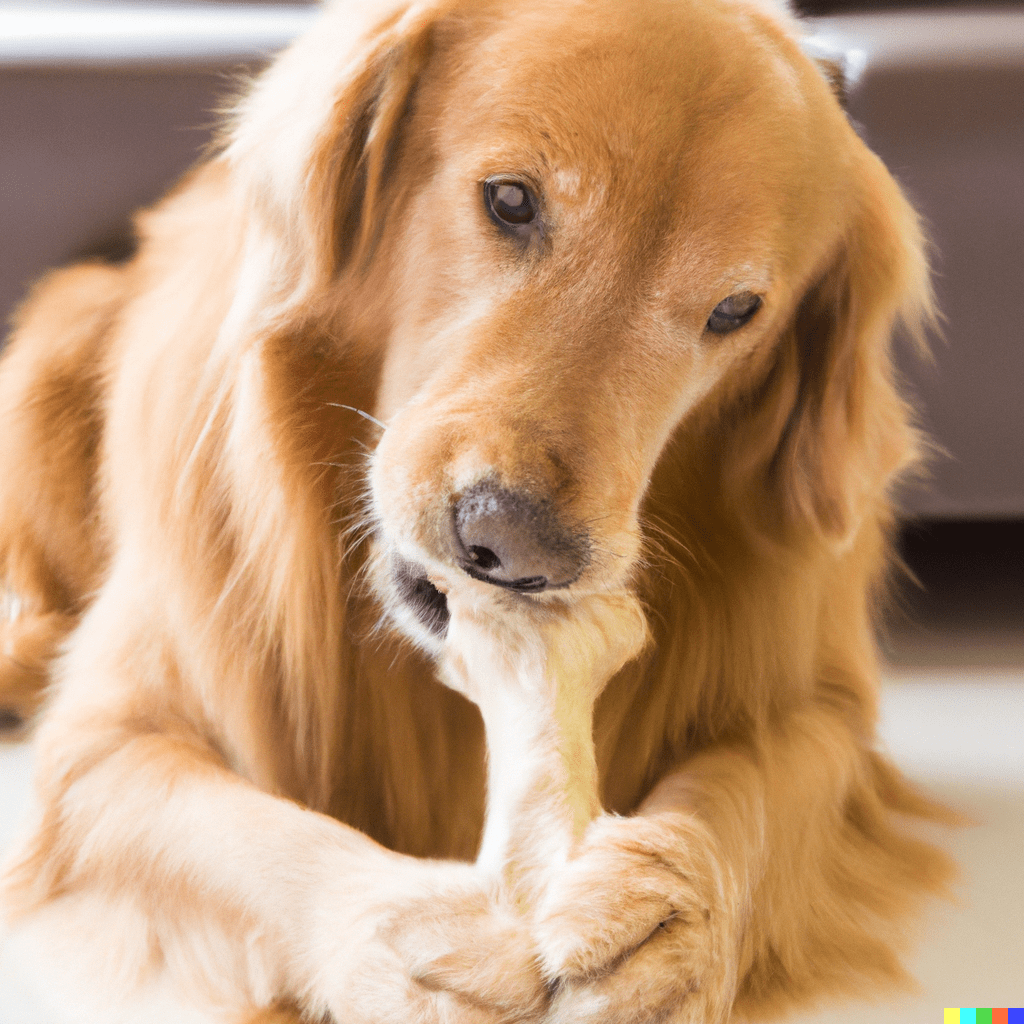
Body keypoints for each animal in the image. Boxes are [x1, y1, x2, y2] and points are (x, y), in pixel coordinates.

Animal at [0, 0, 950, 1019]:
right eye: (510, 201)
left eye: (736, 311)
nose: (515, 546)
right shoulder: (106, 742)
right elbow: (251, 835)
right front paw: (406, 943)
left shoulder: (829, 714)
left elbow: (752, 788)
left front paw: (672, 912)